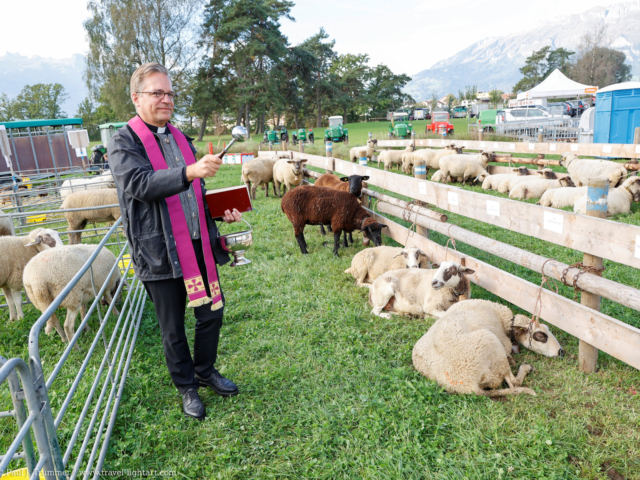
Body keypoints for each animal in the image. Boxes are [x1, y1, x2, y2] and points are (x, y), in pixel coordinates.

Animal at [412, 300, 564, 398]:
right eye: (540, 336)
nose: (561, 351)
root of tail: (469, 386)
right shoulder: (504, 343)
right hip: (493, 345)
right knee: (513, 383)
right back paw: (526, 368)